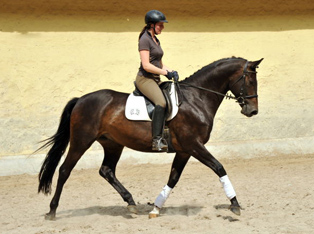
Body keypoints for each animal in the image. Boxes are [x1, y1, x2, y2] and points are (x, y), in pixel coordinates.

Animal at [38, 56, 264, 219]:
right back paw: (52, 211)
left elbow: (173, 178)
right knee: (65, 170)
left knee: (106, 171)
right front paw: (235, 204)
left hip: (113, 144)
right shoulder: (194, 145)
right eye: (250, 80)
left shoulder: (184, 150)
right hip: (81, 141)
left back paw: (131, 203)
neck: (196, 99)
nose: (252, 111)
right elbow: (219, 167)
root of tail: (80, 100)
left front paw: (156, 207)